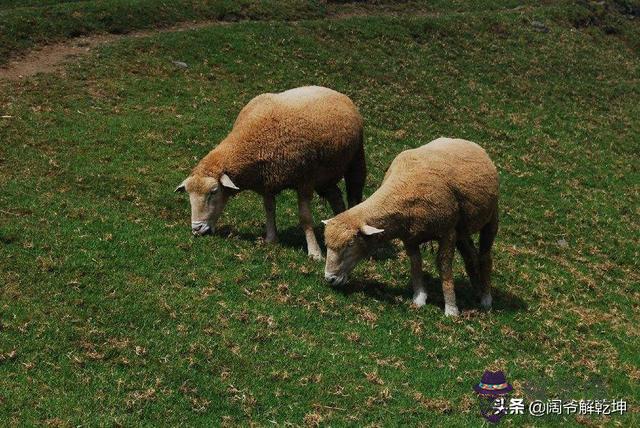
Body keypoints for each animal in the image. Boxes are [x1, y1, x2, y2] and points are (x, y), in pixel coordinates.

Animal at [175, 85, 368, 260]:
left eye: (213, 192)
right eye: (189, 195)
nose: (197, 229)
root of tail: (335, 91)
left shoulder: (305, 181)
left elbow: (305, 218)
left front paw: (314, 253)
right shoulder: (266, 182)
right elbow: (269, 208)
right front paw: (271, 239)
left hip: (356, 160)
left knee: (354, 195)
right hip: (325, 176)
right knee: (336, 197)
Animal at [322, 137, 498, 314]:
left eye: (350, 244)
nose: (329, 278)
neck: (403, 189)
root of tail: (466, 141)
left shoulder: (447, 232)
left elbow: (444, 266)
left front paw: (451, 309)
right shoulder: (409, 237)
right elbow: (416, 264)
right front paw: (419, 298)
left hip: (491, 217)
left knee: (485, 257)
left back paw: (486, 298)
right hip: (462, 228)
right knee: (471, 256)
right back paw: (477, 291)